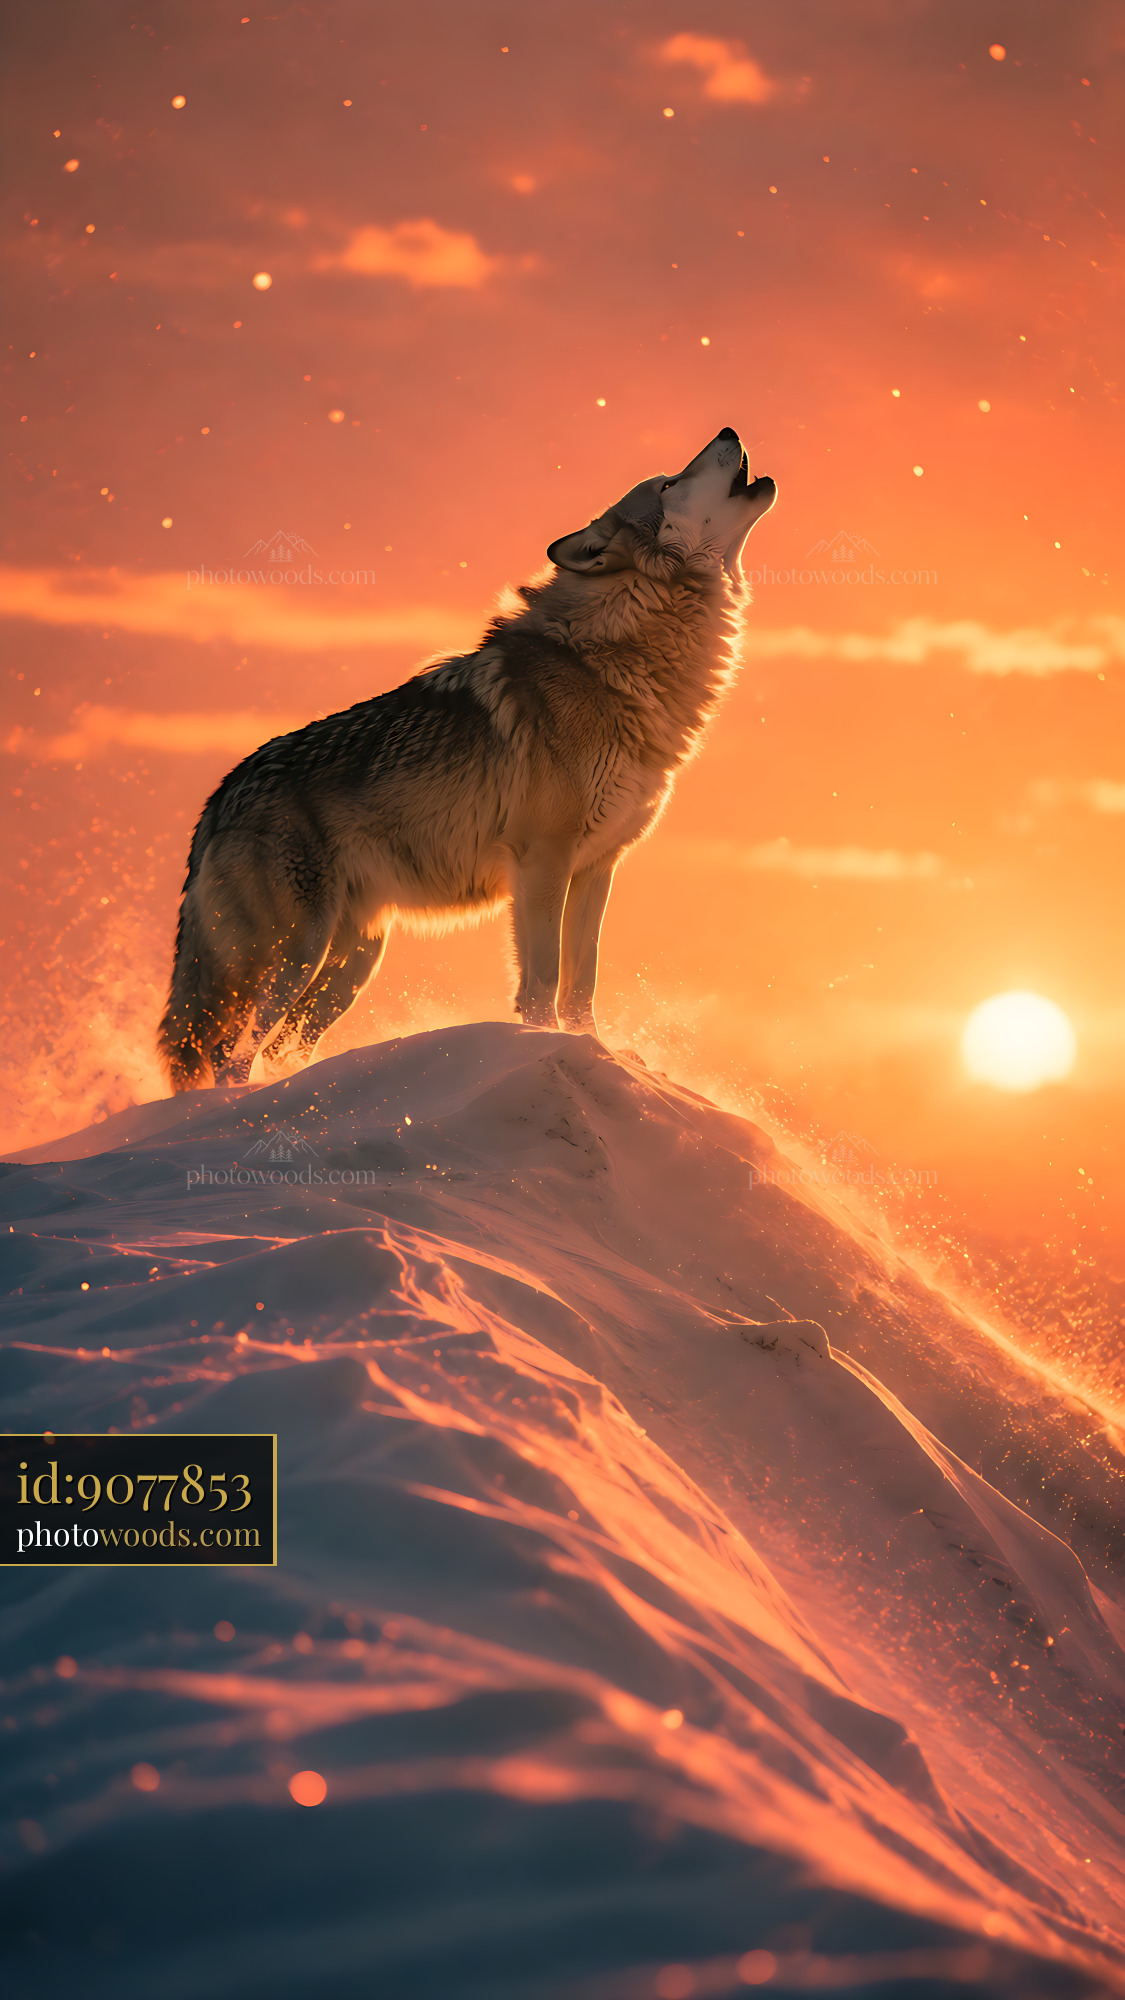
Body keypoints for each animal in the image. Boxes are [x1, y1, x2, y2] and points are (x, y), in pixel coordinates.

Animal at [159, 428, 775, 1089]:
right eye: (667, 484)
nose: (729, 432)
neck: (615, 658)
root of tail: (220, 797)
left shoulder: (597, 867)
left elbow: (582, 984)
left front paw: (596, 1053)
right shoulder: (542, 862)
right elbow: (543, 982)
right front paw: (545, 1053)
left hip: (351, 966)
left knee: (279, 1052)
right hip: (298, 954)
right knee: (230, 1058)